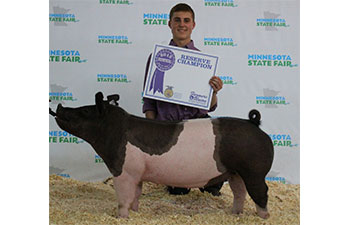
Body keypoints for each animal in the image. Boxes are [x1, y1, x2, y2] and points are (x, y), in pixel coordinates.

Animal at [51, 91, 274, 218]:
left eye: (85, 111)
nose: (59, 106)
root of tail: (255, 124)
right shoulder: (138, 174)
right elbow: (136, 194)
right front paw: (135, 211)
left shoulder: (123, 170)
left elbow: (123, 197)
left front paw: (121, 217)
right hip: (235, 172)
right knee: (239, 192)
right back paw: (235, 214)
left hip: (254, 171)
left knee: (261, 192)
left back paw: (263, 217)